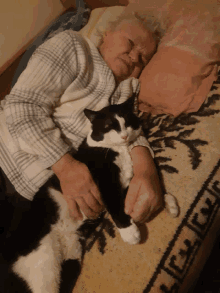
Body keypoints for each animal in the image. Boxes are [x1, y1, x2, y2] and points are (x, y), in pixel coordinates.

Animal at [0, 95, 179, 290]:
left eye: (128, 122)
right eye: (109, 126)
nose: (124, 136)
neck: (117, 150)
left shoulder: (124, 183)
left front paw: (169, 203)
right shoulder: (105, 184)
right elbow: (115, 206)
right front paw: (130, 232)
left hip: (70, 257)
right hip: (41, 265)